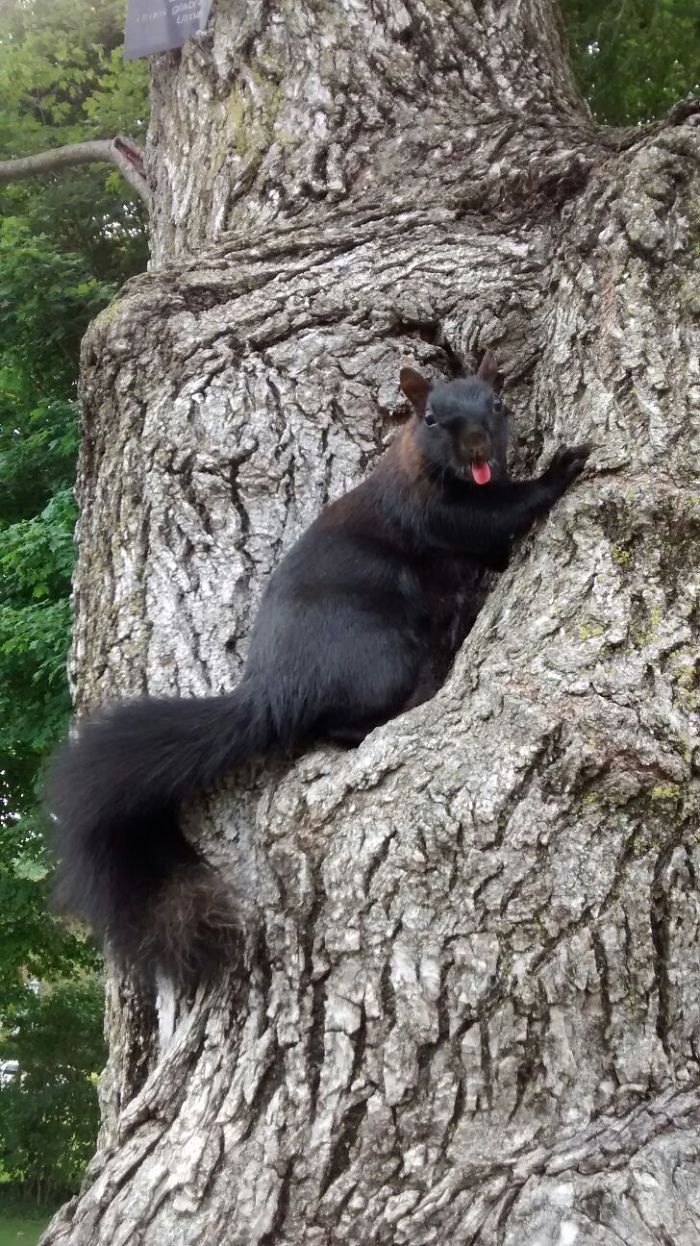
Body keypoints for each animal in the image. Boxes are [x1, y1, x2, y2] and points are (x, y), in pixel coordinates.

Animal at [46, 352, 591, 984]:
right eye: (431, 417)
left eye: (497, 405)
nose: (478, 444)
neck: (434, 471)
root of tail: (272, 690)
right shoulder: (437, 515)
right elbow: (498, 516)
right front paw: (561, 470)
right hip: (379, 656)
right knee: (335, 725)